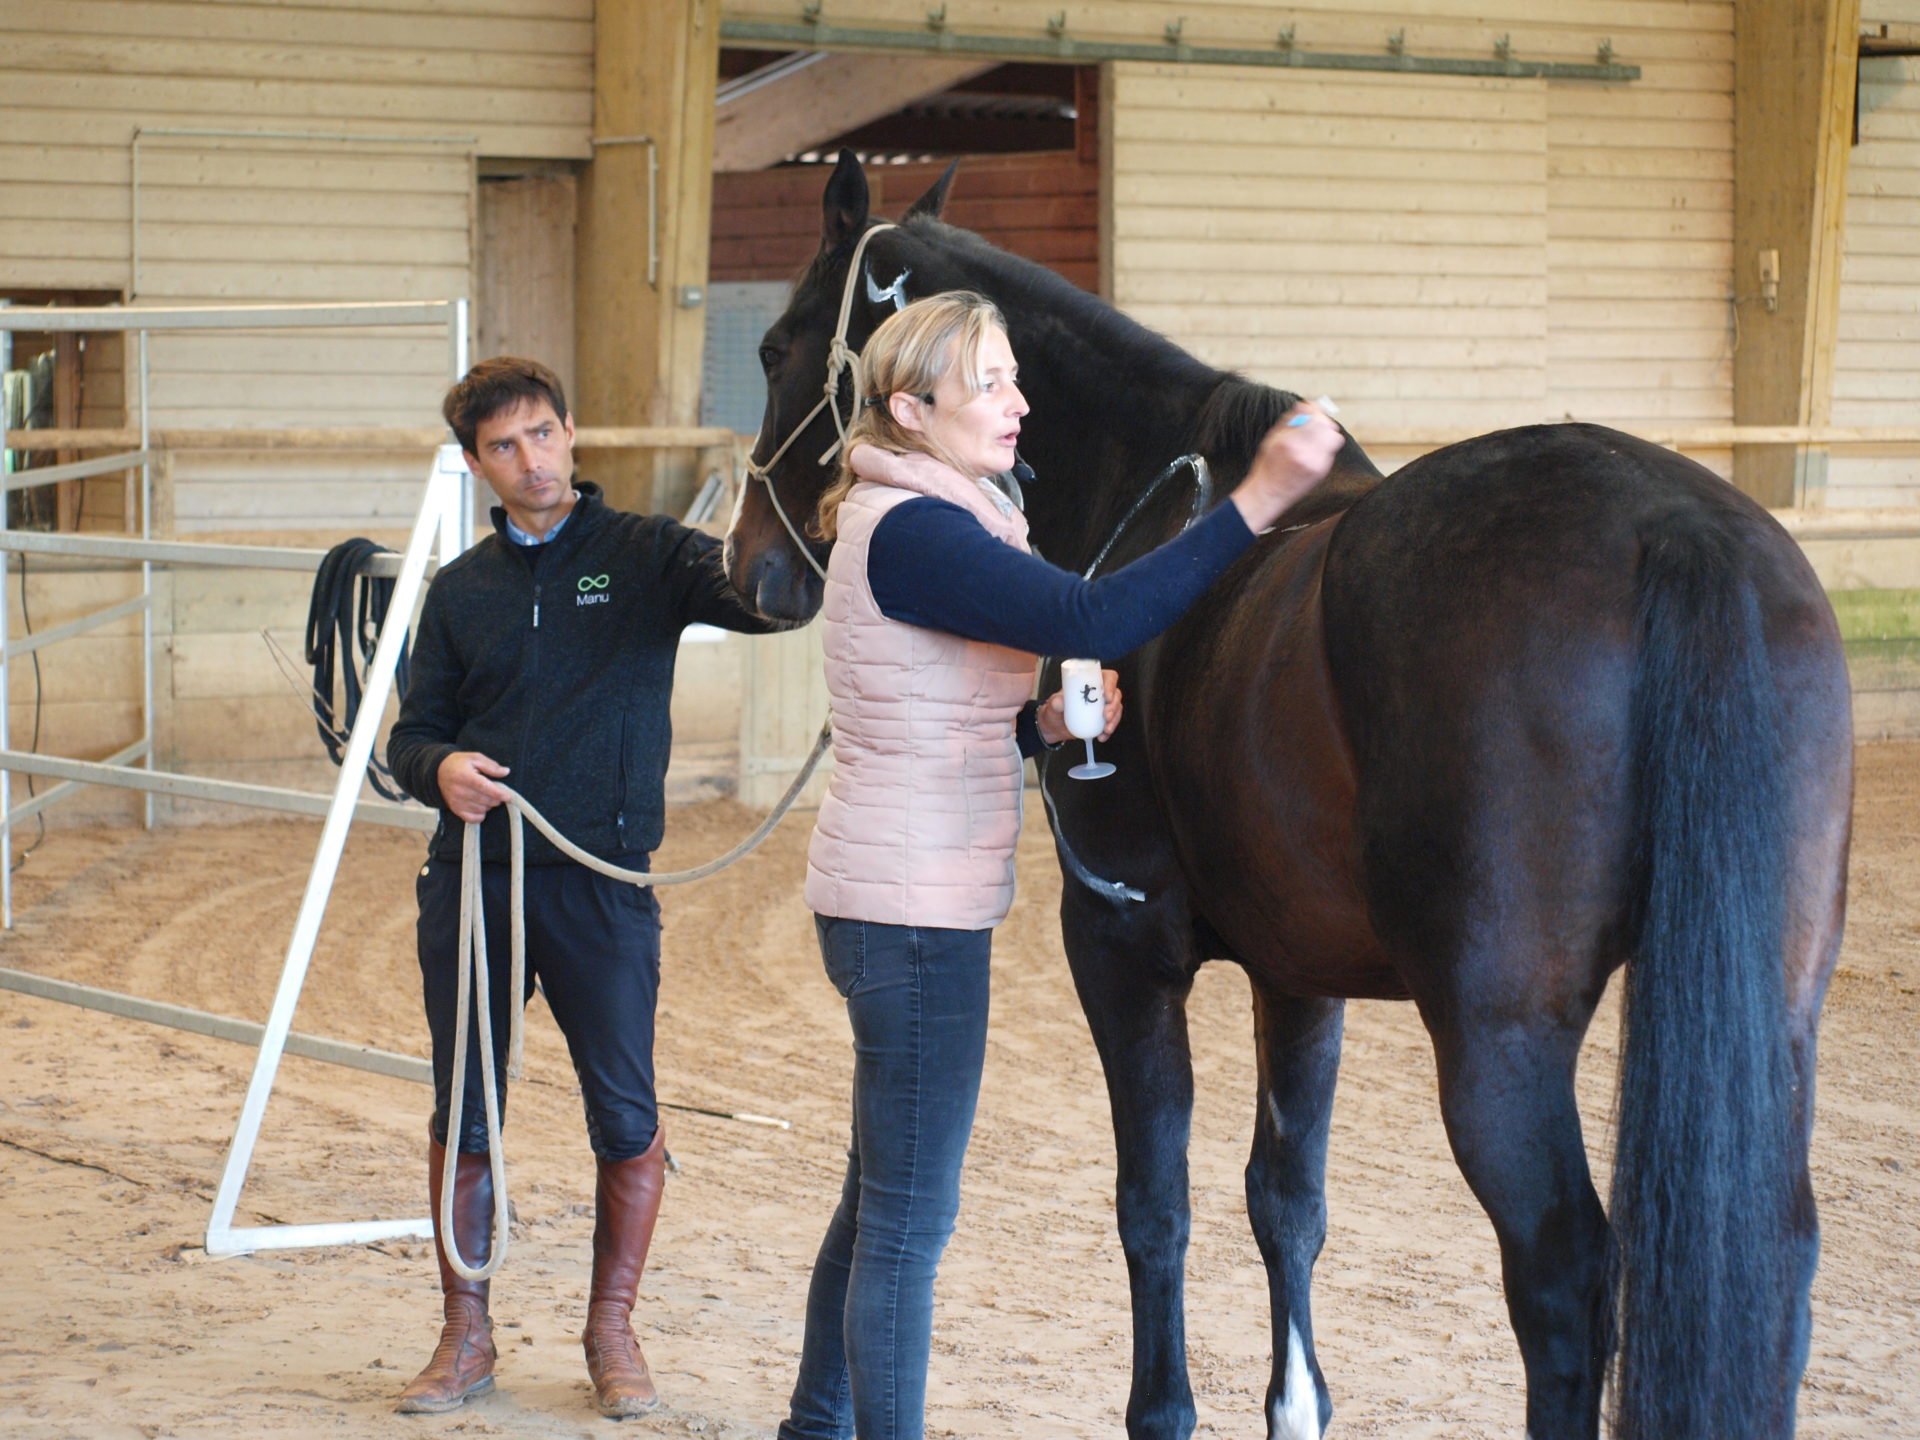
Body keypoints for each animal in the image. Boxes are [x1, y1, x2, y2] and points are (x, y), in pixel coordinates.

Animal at [725, 152, 1850, 1436]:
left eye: (775, 347)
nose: (749, 569)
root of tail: (1671, 526)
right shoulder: (1300, 975)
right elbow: (1286, 1199)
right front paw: (1296, 1402)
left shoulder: (1120, 948)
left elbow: (1153, 1199)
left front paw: (1163, 1408)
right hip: (1772, 1017)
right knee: (1777, 1263)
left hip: (1499, 1040)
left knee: (1565, 1274)